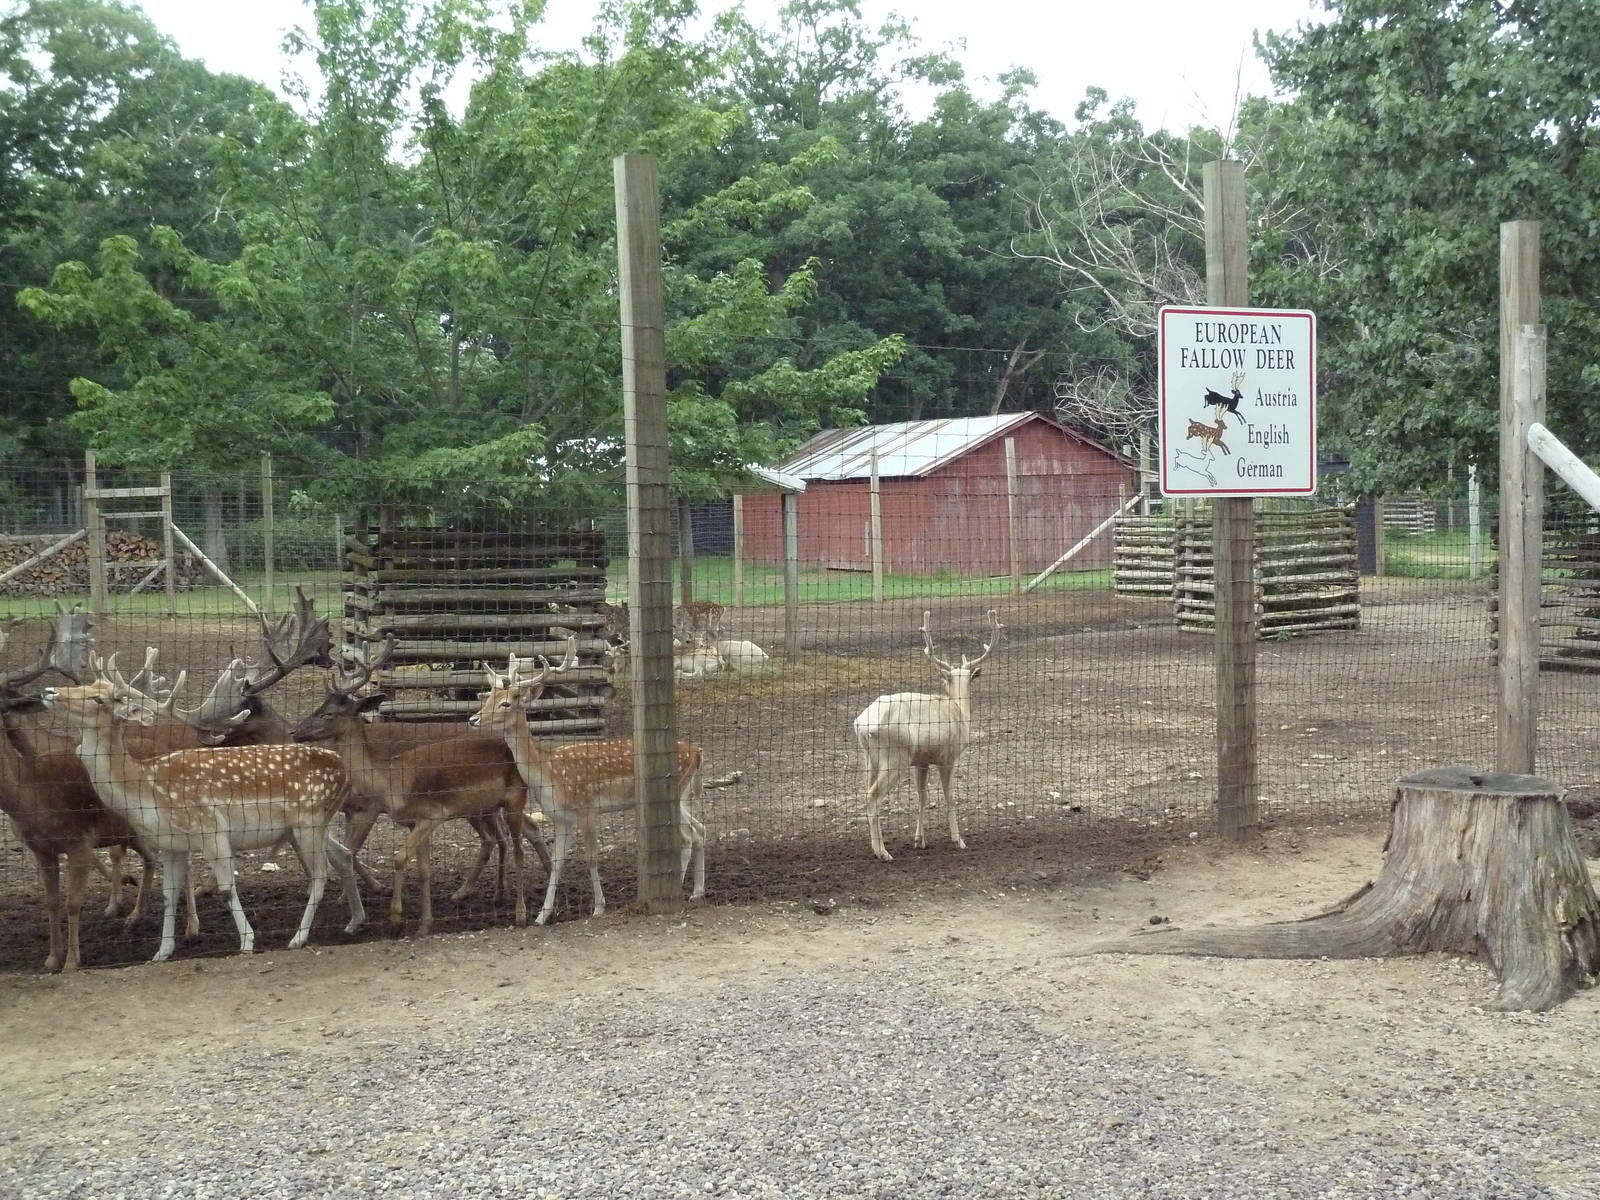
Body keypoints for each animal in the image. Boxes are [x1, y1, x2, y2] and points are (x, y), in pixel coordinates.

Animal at [41, 654, 367, 963]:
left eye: (98, 698)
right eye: (85, 685)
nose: (49, 691)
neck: (146, 790)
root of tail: (343, 769)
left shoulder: (211, 829)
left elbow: (226, 889)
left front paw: (247, 943)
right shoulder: (171, 845)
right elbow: (169, 896)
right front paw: (161, 952)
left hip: (309, 822)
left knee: (320, 874)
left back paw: (298, 938)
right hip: (315, 825)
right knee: (342, 856)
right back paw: (354, 921)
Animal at [291, 638, 539, 936]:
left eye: (329, 714)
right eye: (319, 705)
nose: (295, 732)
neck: (390, 782)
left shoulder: (431, 814)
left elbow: (398, 858)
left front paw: (396, 918)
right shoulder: (413, 823)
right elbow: (423, 871)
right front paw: (425, 924)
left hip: (514, 798)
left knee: (518, 847)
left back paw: (521, 912)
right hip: (489, 806)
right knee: (506, 838)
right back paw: (498, 894)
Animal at [469, 638, 706, 926]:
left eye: (506, 703)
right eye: (489, 697)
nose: (473, 719)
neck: (549, 774)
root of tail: (697, 751)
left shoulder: (587, 808)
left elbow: (591, 857)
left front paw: (598, 907)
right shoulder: (562, 818)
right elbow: (557, 862)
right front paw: (541, 916)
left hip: (673, 792)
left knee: (687, 835)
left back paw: (680, 890)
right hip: (683, 796)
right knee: (700, 830)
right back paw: (696, 891)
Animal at [853, 609, 1002, 862]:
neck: (960, 711)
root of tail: (862, 724)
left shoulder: (922, 761)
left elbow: (922, 796)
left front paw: (919, 840)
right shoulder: (947, 757)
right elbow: (949, 796)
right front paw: (959, 840)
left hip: (868, 757)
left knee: (865, 792)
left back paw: (876, 848)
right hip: (895, 756)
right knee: (873, 796)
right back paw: (883, 852)